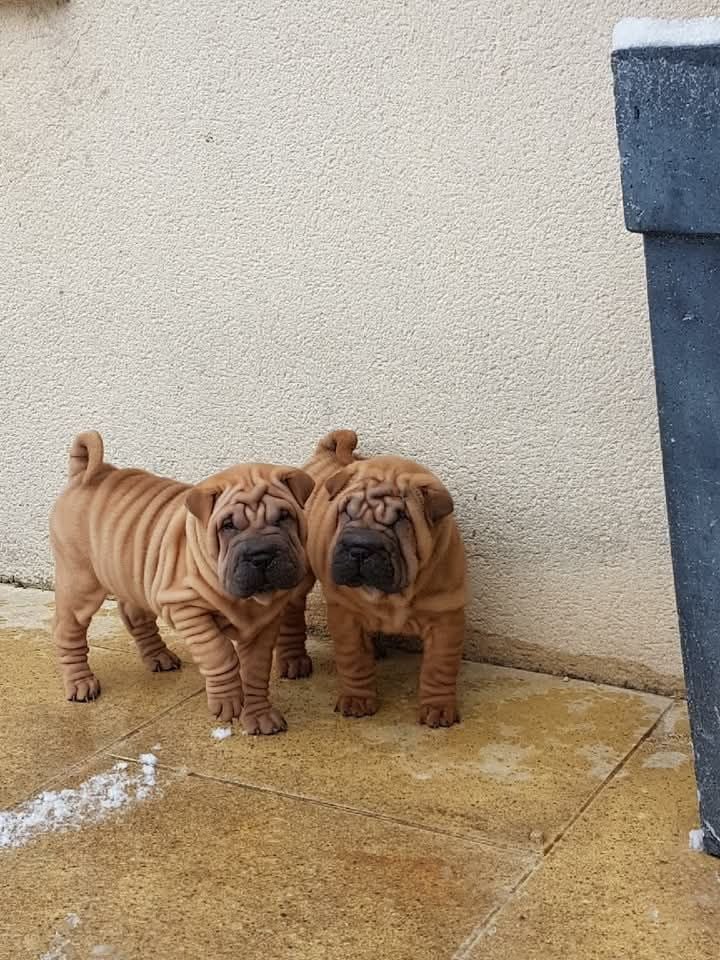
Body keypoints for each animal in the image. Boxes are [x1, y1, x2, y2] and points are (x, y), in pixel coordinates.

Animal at [47, 436, 312, 736]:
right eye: (228, 526)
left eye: (284, 517)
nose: (261, 555)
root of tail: (85, 473)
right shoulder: (187, 608)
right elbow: (219, 653)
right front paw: (228, 702)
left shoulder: (264, 625)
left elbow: (256, 671)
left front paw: (260, 716)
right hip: (79, 582)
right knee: (68, 631)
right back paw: (81, 683)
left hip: (133, 576)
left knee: (135, 616)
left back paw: (159, 657)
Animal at [276, 432, 466, 724]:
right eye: (345, 512)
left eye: (400, 520)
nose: (359, 547)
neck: (393, 593)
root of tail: (324, 454)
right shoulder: (346, 616)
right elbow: (354, 659)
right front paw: (357, 701)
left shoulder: (446, 616)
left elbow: (439, 668)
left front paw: (438, 708)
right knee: (291, 615)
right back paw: (293, 661)